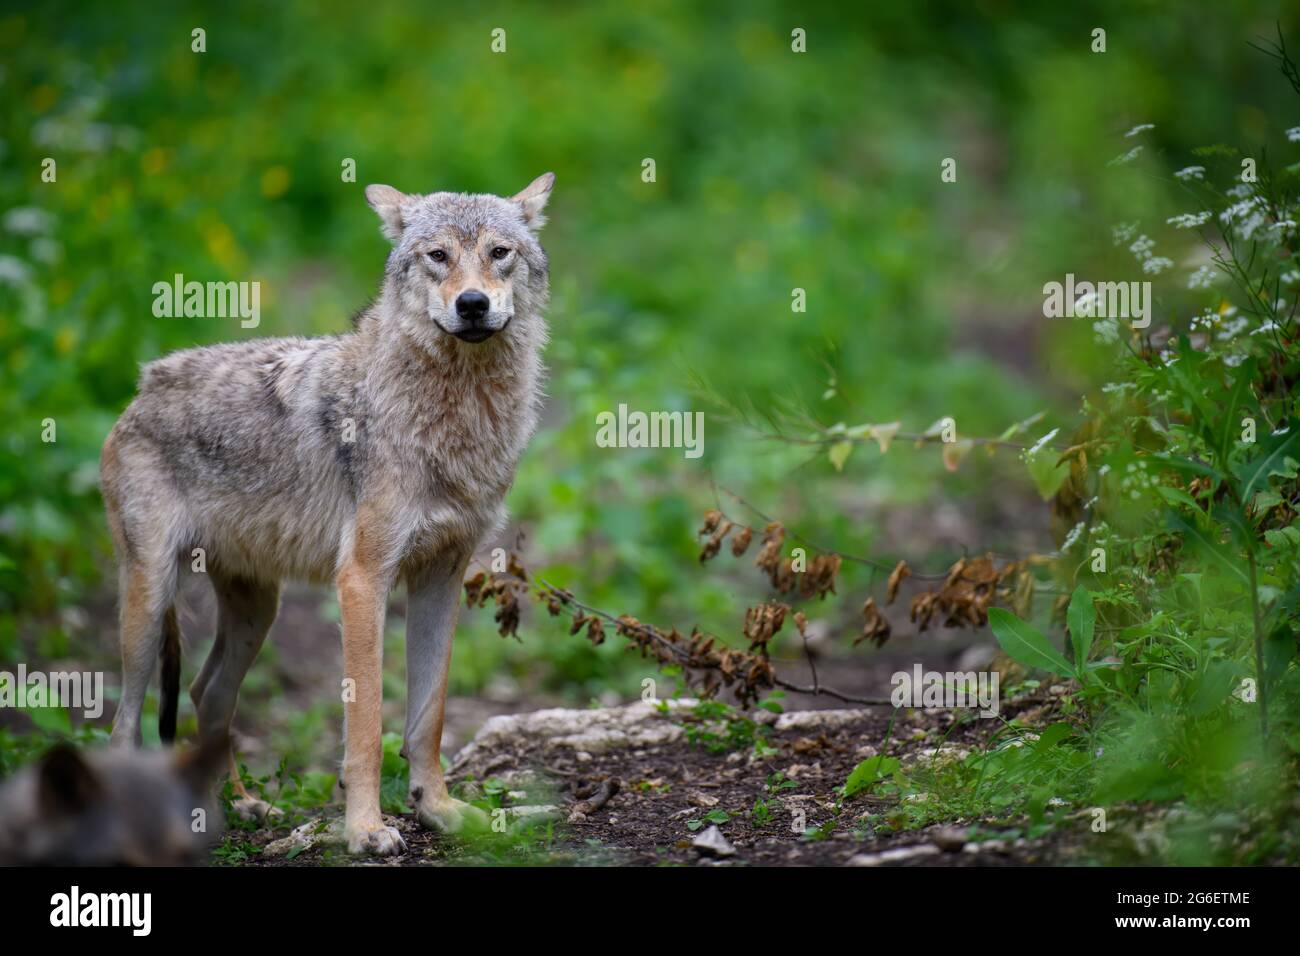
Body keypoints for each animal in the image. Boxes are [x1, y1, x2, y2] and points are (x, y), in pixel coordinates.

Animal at [99, 173, 555, 855]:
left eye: (499, 252)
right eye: (438, 256)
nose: (472, 304)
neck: (454, 416)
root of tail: (142, 386)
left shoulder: (441, 577)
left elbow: (428, 718)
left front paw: (438, 811)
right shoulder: (363, 579)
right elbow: (365, 725)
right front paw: (364, 829)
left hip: (258, 610)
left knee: (209, 693)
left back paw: (232, 807)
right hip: (150, 606)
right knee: (125, 725)